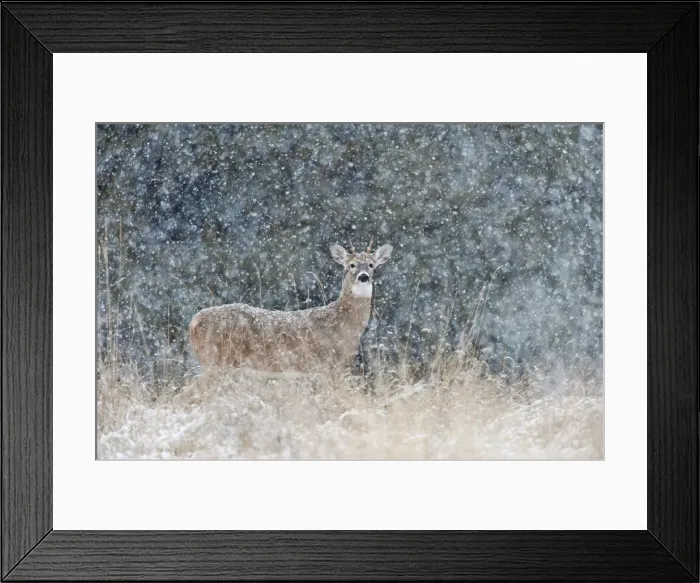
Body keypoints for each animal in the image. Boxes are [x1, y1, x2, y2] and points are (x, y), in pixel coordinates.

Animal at [188, 240, 393, 375]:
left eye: (371, 265)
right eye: (351, 265)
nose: (363, 276)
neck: (343, 323)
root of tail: (193, 322)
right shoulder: (326, 362)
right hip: (216, 360)